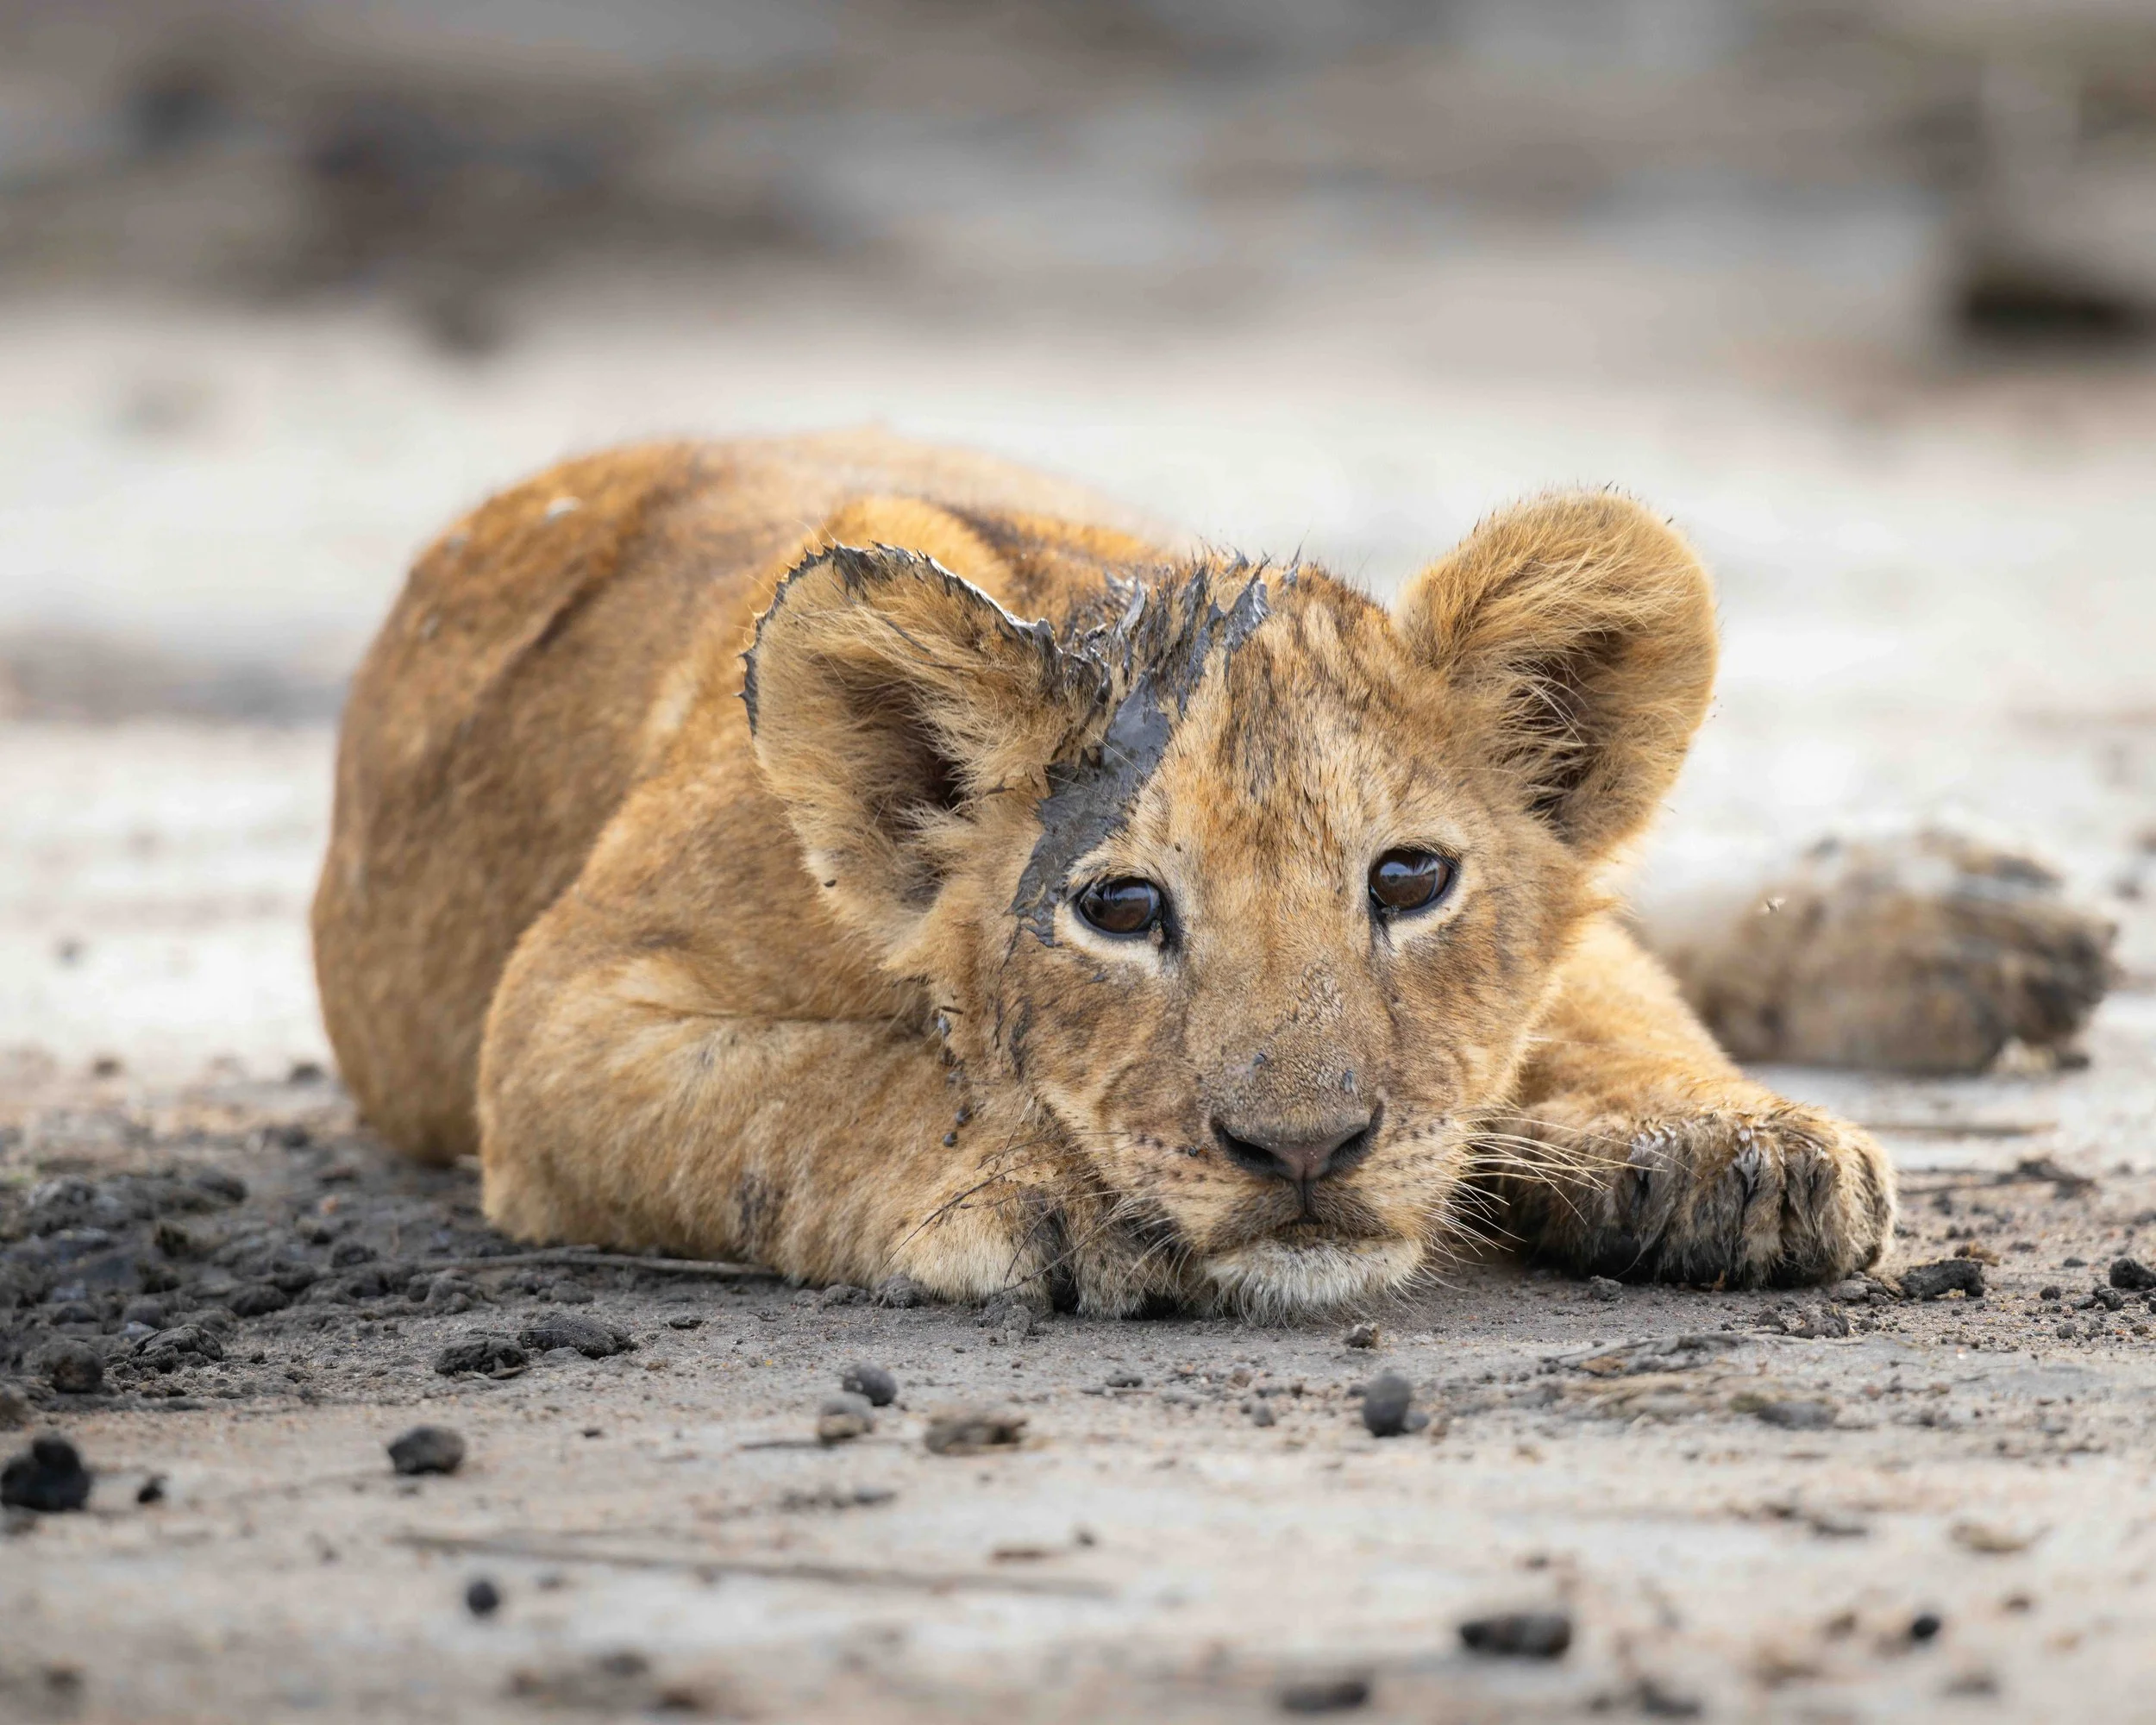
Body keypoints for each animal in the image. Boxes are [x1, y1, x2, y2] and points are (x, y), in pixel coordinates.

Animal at [312, 430, 2114, 1316]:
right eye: (1123, 910)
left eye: (1409, 880)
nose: (1303, 1151)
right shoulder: (559, 1025)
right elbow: (823, 1096)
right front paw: (1054, 1189)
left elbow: (1598, 986)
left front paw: (1735, 1147)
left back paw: (1970, 928)